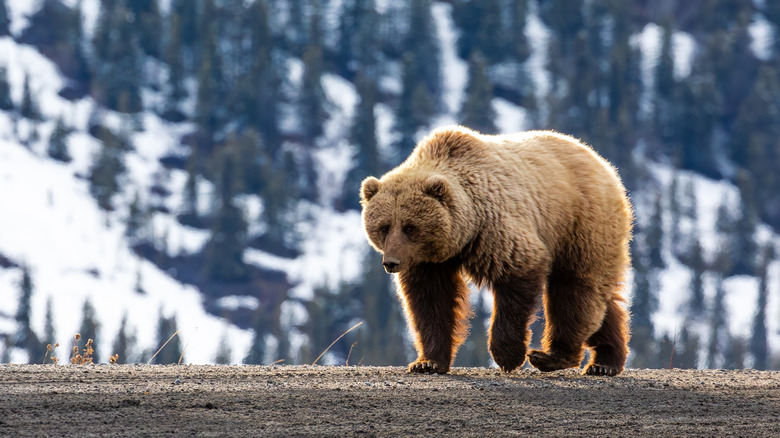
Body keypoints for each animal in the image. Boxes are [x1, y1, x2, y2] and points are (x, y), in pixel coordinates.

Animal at [360, 126, 633, 376]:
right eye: (384, 227)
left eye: (410, 227)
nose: (391, 262)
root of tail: (602, 162)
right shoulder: (427, 262)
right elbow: (431, 301)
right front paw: (427, 362)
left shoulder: (495, 228)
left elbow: (518, 277)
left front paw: (508, 355)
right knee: (601, 300)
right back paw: (605, 361)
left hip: (579, 224)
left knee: (575, 289)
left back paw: (552, 356)